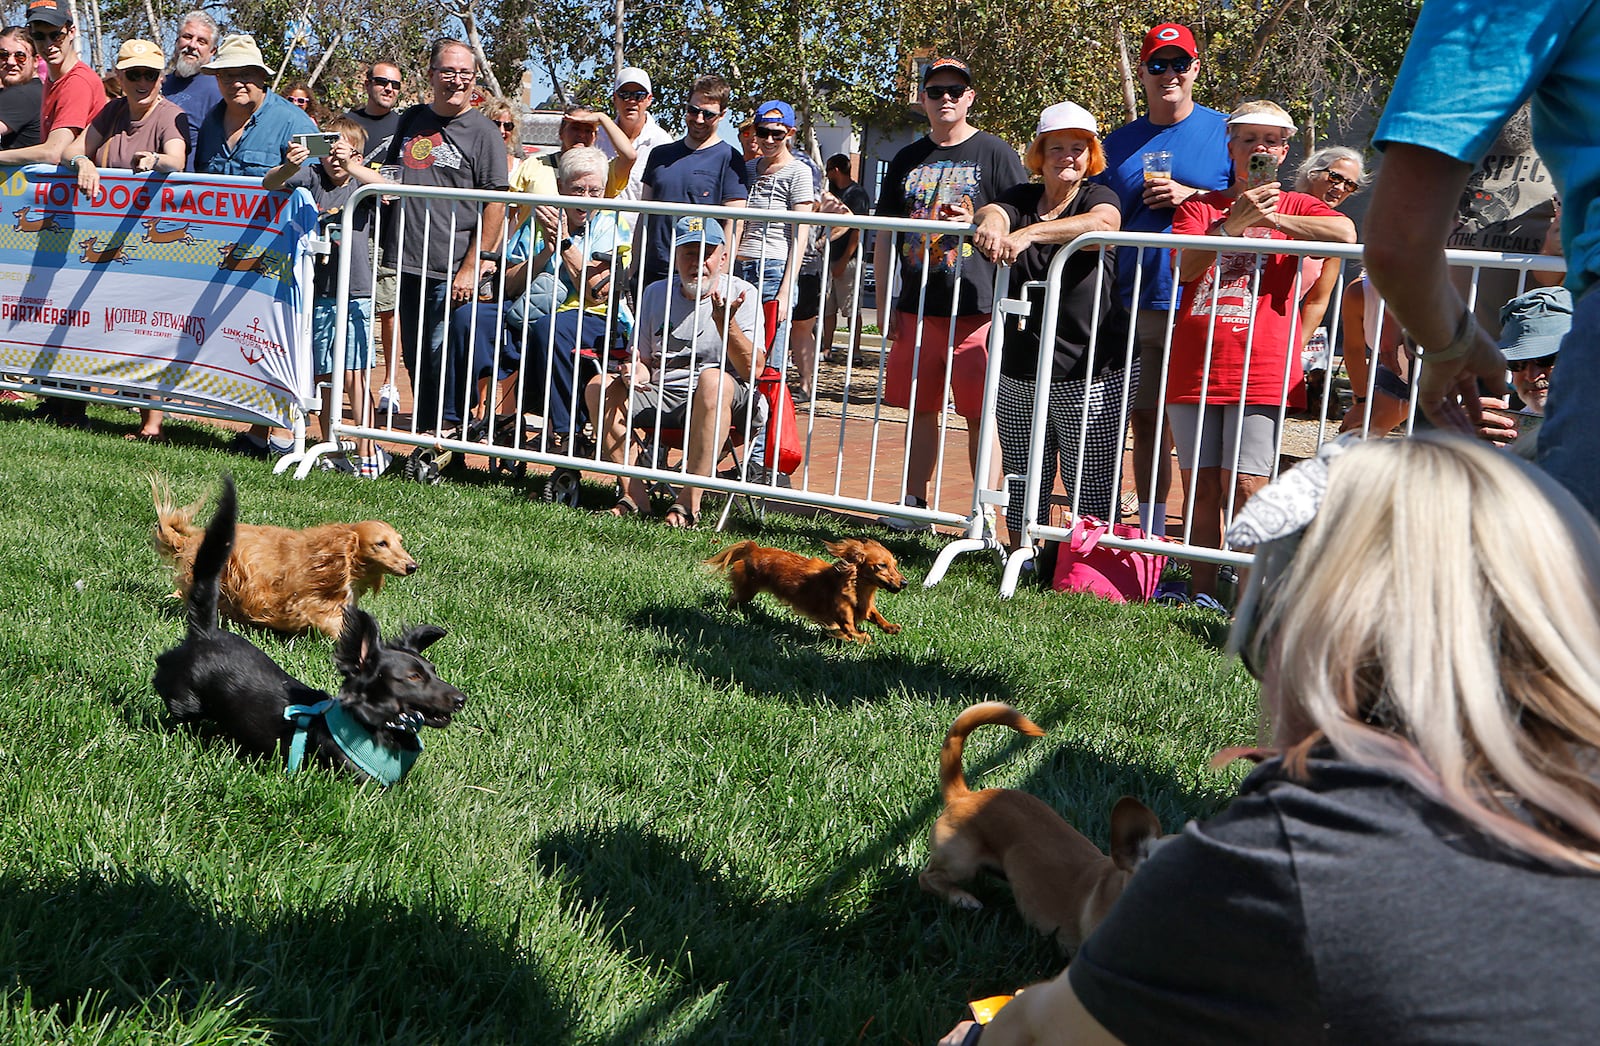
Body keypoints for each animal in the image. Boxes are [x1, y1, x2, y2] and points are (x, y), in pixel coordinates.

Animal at [707, 540, 908, 646]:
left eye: (895, 565)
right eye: (881, 565)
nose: (905, 583)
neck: (857, 587)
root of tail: (754, 548)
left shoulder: (865, 608)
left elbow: (876, 616)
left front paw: (890, 627)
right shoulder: (843, 618)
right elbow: (851, 630)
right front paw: (863, 638)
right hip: (747, 590)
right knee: (733, 600)